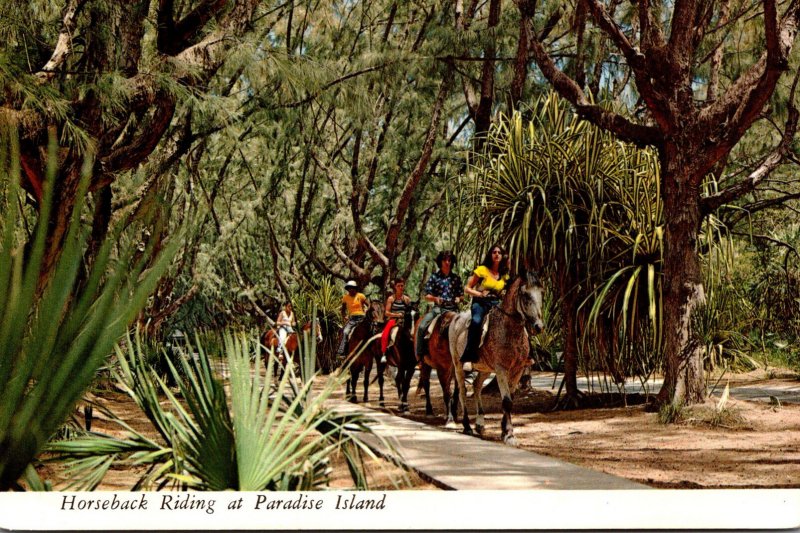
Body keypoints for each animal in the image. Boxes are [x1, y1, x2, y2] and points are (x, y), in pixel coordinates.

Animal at [450, 270, 544, 444]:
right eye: (526, 295)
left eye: (542, 292)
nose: (538, 327)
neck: (509, 329)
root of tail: (455, 318)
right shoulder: (501, 369)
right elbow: (506, 401)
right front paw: (509, 435)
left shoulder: (518, 370)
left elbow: (510, 399)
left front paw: (504, 430)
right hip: (458, 366)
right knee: (462, 391)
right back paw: (467, 426)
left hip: (485, 368)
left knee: (477, 386)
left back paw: (480, 423)